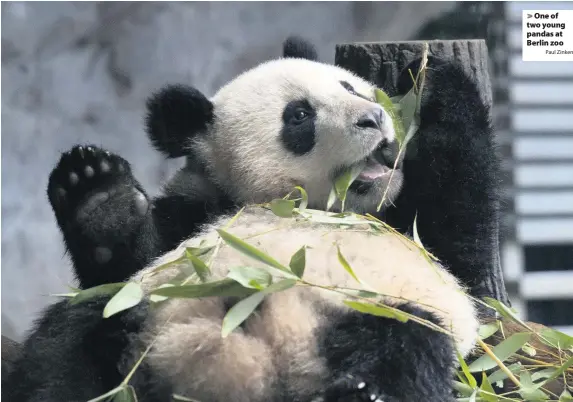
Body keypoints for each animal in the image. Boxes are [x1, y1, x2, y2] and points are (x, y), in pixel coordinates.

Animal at [4, 37, 498, 402]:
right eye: (299, 116)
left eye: (351, 88)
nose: (374, 117)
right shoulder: (197, 215)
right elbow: (119, 265)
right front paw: (100, 199)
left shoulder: (404, 232)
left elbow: (456, 239)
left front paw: (432, 82)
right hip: (146, 312)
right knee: (68, 343)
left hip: (366, 310)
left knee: (402, 348)